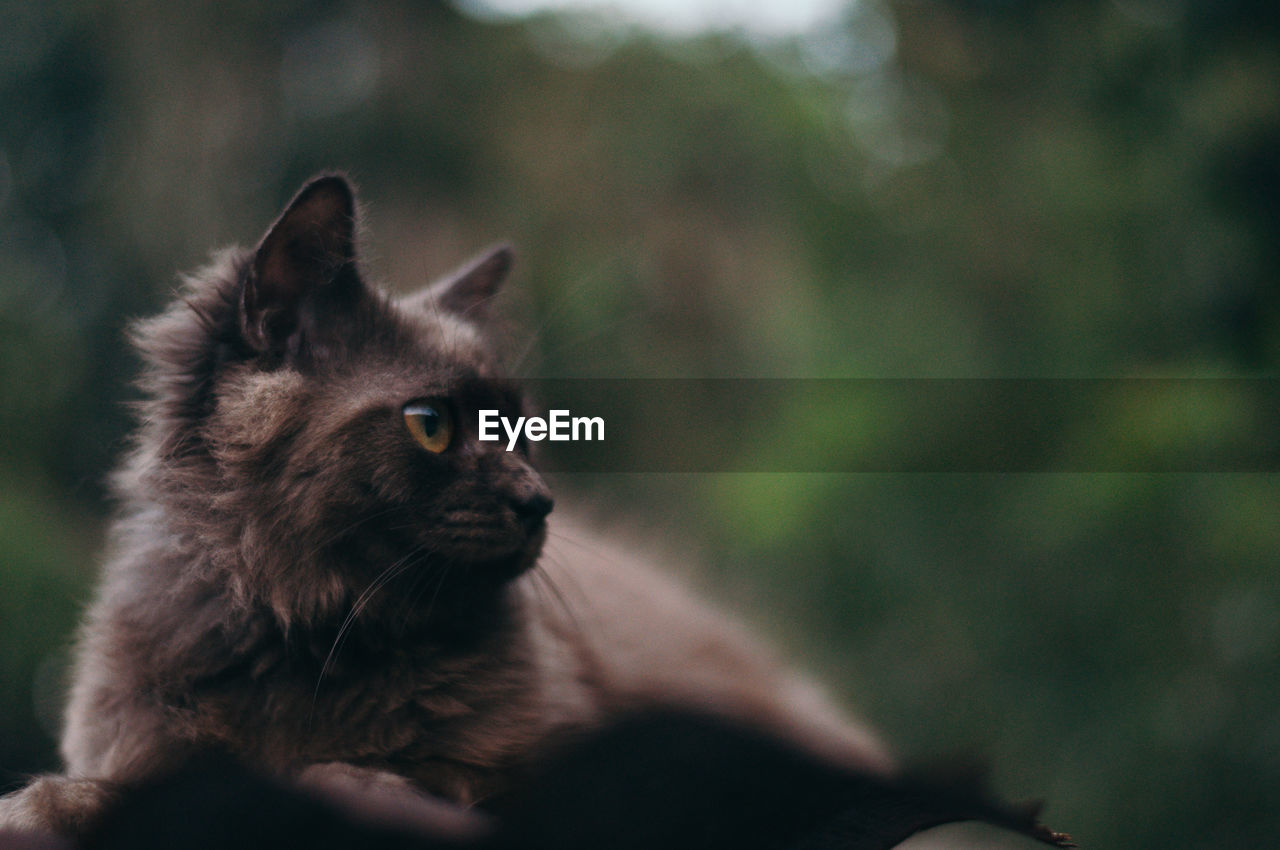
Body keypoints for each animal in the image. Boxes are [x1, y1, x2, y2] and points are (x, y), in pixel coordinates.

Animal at [0, 175, 890, 839]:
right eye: (430, 424)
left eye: (522, 430)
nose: (539, 502)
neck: (313, 640)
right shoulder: (134, 739)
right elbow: (83, 792)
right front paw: (44, 805)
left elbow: (363, 774)